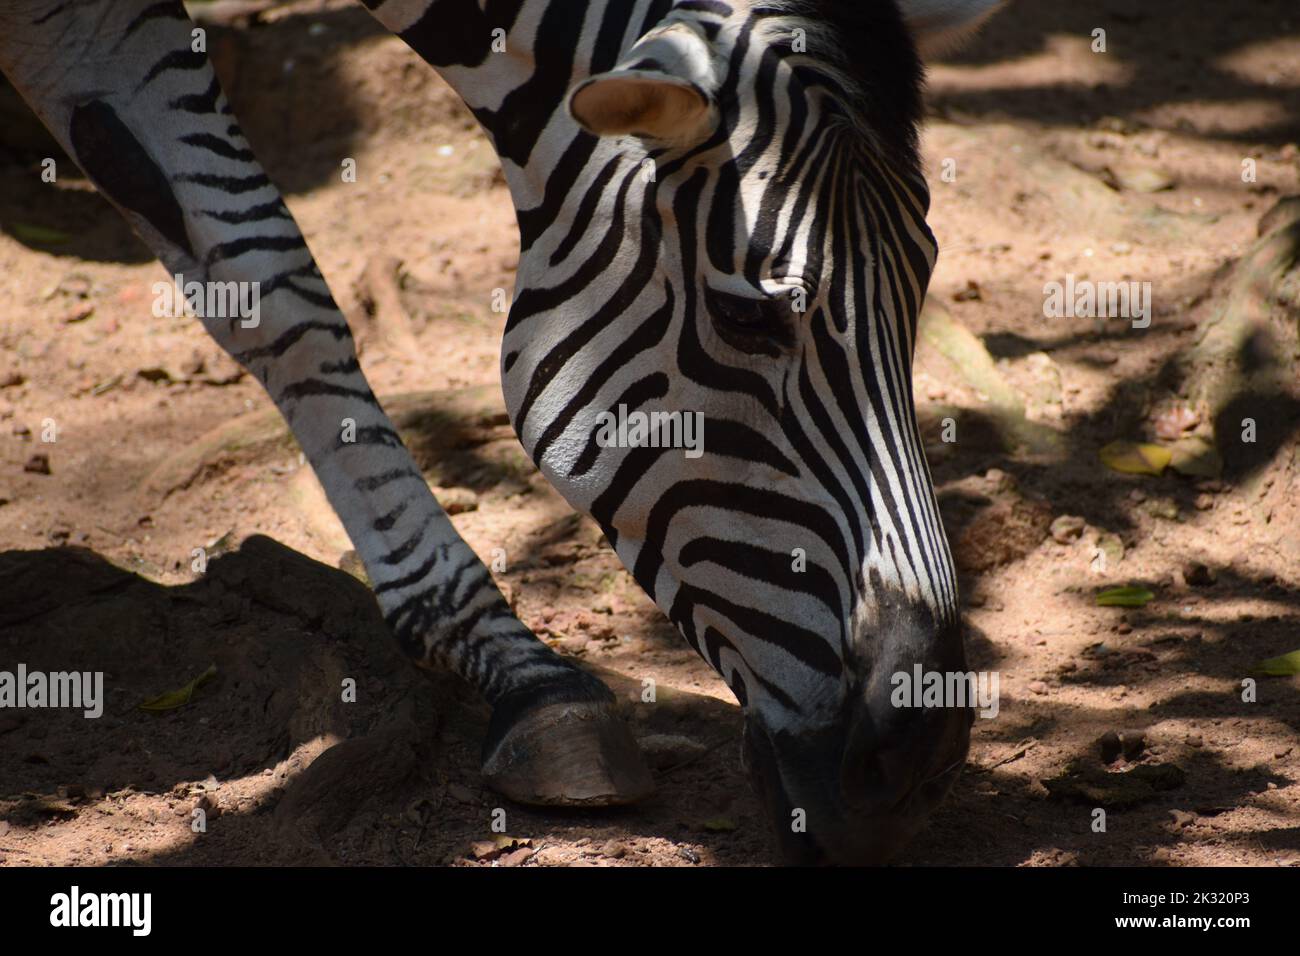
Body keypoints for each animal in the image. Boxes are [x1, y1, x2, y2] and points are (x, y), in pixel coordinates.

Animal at [0, 0, 1002, 864]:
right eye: (748, 318)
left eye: (926, 280)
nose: (921, 766)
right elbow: (266, 282)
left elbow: (257, 274)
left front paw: (519, 669)